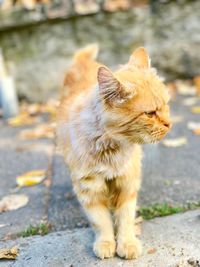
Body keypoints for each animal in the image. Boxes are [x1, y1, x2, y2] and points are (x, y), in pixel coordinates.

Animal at [57, 45, 171, 260]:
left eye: (166, 105)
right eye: (150, 113)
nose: (169, 124)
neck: (110, 149)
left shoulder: (128, 182)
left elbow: (125, 218)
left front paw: (127, 243)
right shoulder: (89, 188)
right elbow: (101, 221)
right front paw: (106, 243)